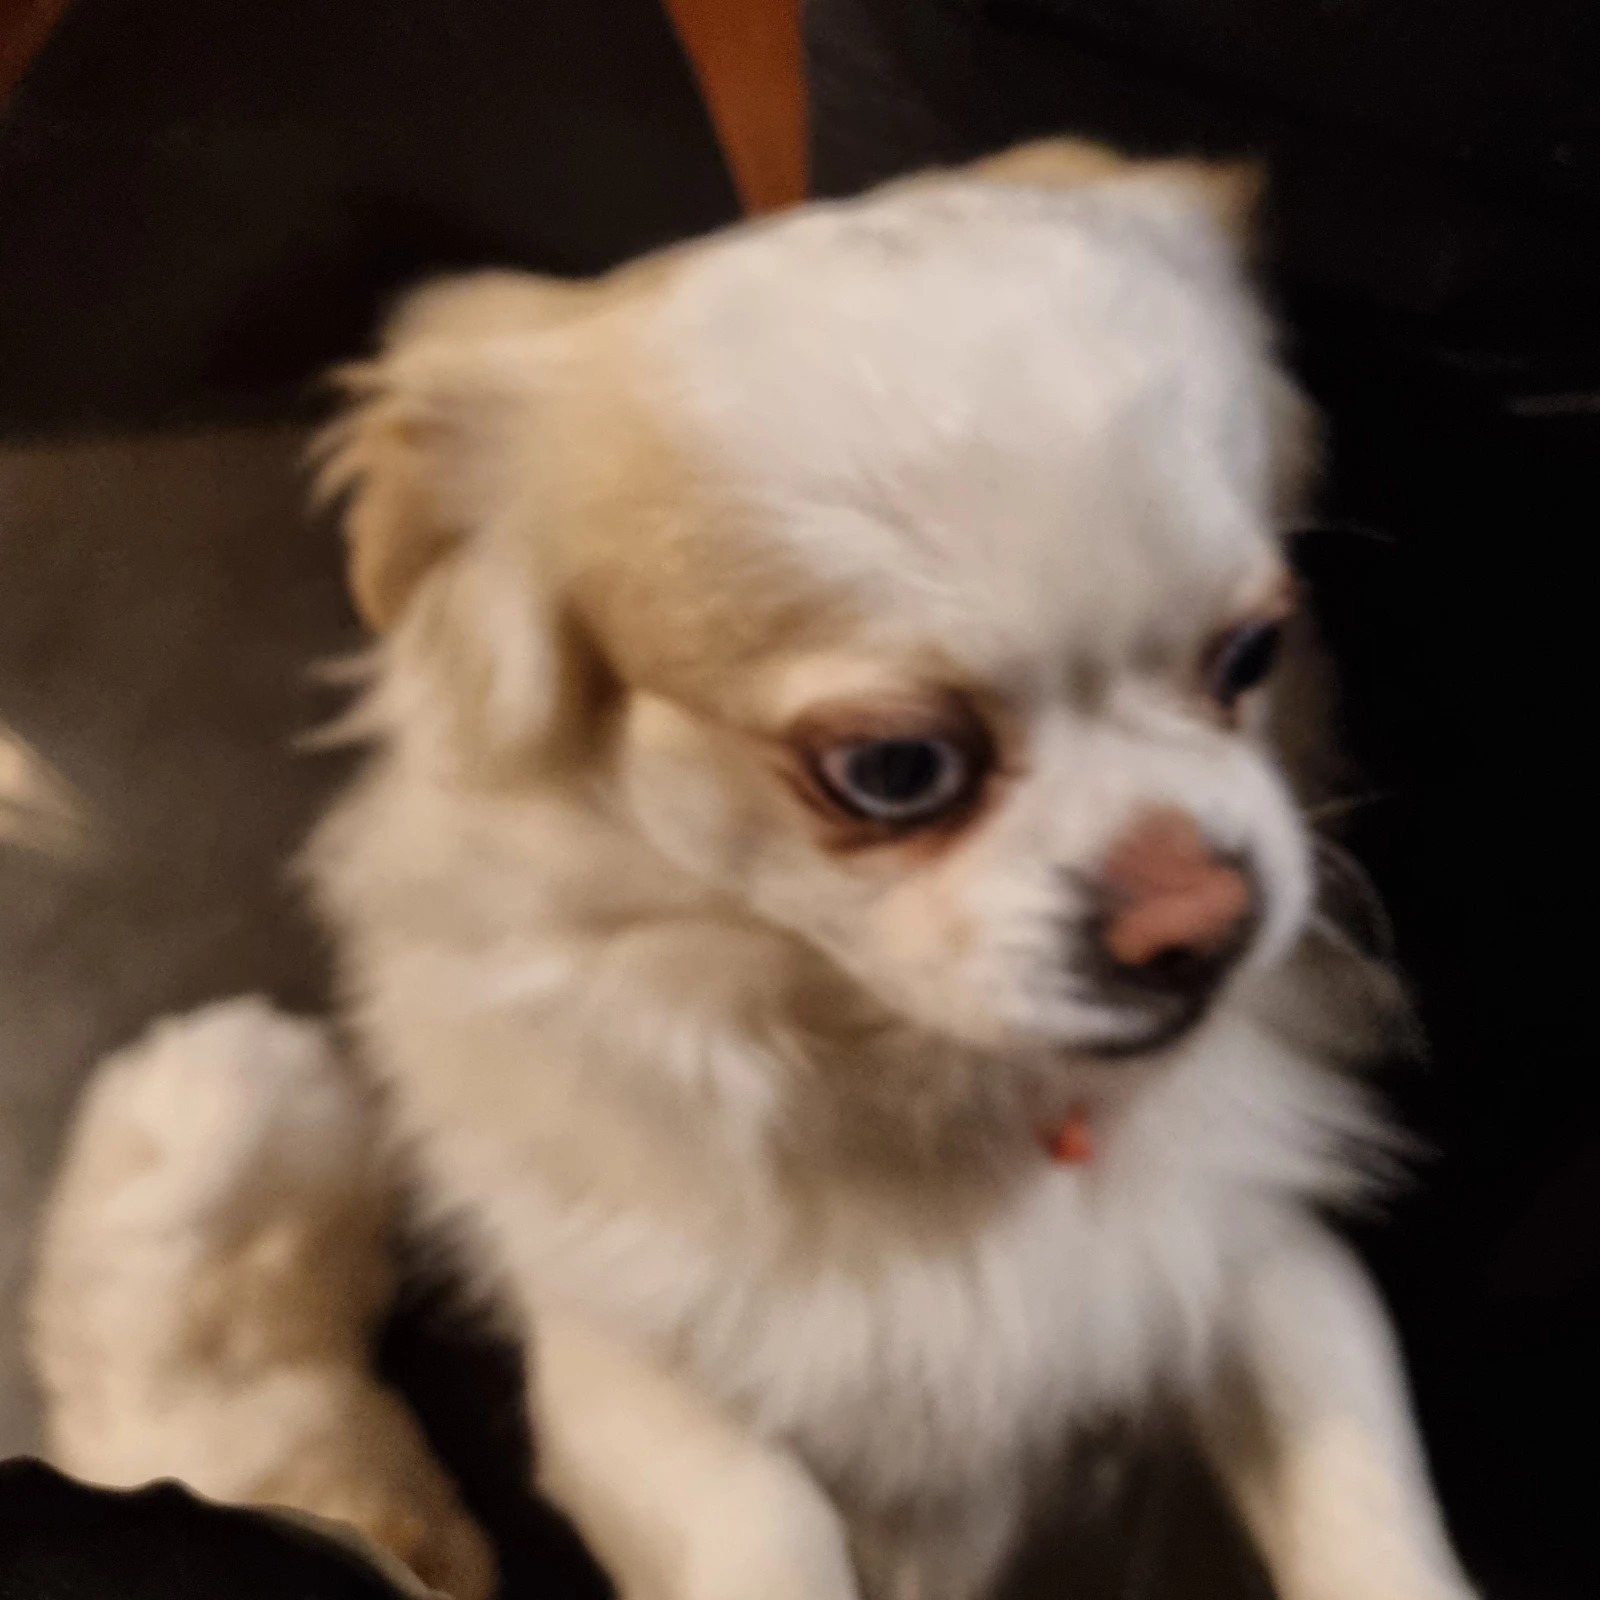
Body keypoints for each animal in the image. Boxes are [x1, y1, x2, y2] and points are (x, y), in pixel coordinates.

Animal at [30, 141, 1476, 1600]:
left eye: (1252, 656)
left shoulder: (1260, 1264)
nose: (1201, 914)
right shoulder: (622, 1370)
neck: (923, 1082)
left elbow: (1366, 1500)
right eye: (894, 768)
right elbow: (761, 1517)